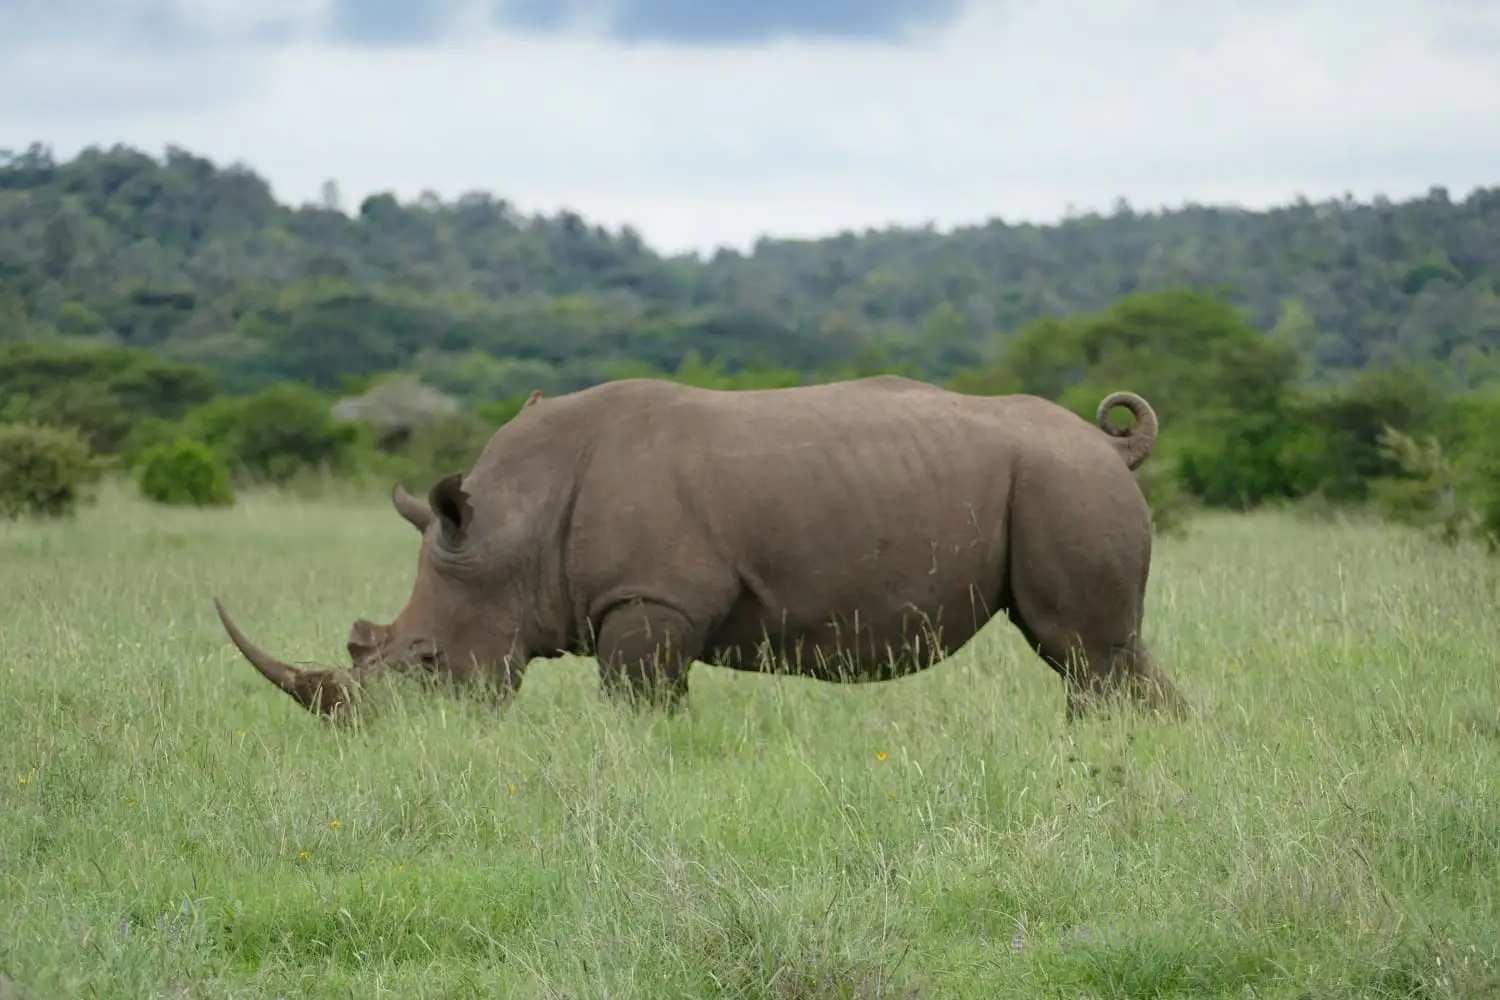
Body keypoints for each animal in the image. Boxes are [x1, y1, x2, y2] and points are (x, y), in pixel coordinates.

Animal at [214, 375, 1187, 723]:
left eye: (421, 662)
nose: (374, 739)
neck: (511, 527)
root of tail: (1110, 446)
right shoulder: (651, 605)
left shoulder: (650, 599)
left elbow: (636, 707)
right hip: (1067, 480)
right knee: (1112, 653)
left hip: (1063, 481)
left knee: (1082, 651)